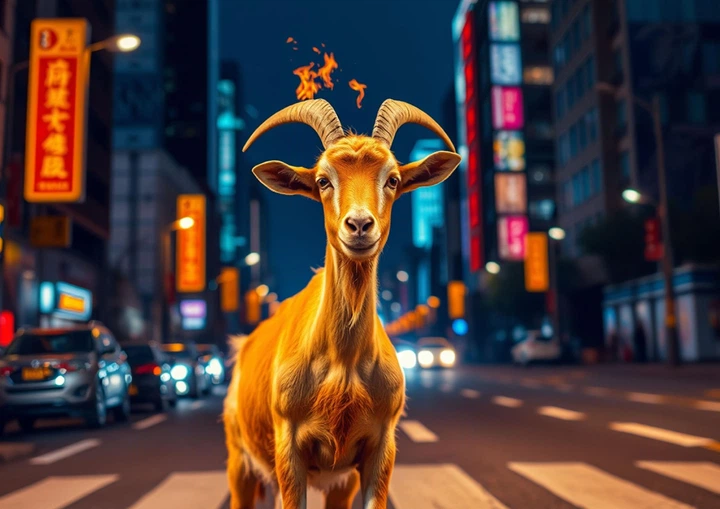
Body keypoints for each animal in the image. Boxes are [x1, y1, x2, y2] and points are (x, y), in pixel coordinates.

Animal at [223, 98, 461, 509]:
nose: (360, 225)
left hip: (335, 480)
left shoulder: (378, 449)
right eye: (323, 180)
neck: (343, 366)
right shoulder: (289, 450)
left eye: (392, 179)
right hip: (240, 459)